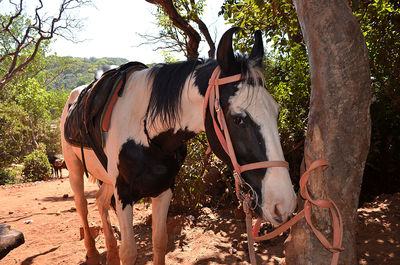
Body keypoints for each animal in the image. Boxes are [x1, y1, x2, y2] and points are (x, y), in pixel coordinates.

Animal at [59, 27, 296, 262]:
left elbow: (159, 241)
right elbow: (129, 251)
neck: (145, 128)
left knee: (100, 201)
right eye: (238, 119)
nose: (283, 204)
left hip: (106, 177)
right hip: (74, 168)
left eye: (277, 113)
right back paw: (92, 252)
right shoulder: (123, 193)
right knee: (82, 206)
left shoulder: (164, 188)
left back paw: (110, 251)